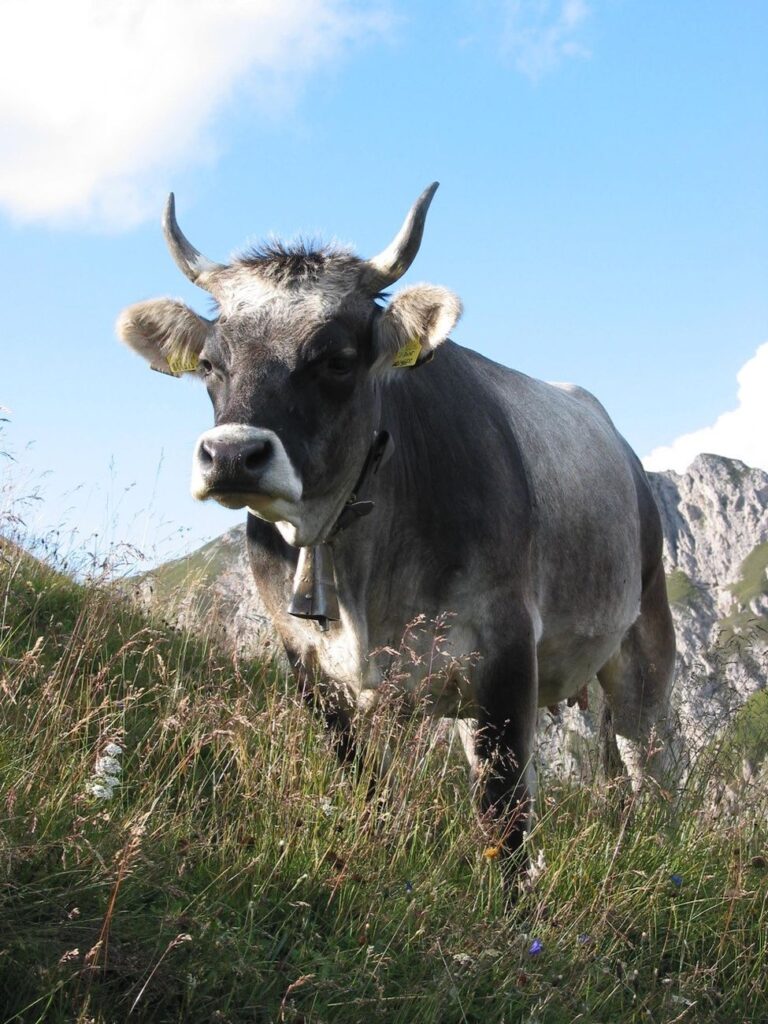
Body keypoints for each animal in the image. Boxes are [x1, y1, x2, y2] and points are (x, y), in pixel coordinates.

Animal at [117, 184, 675, 888]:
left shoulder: (506, 642)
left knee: (647, 764)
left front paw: (513, 907)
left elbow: (503, 816)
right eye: (211, 364)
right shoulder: (307, 662)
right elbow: (366, 781)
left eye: (336, 360)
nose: (232, 456)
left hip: (645, 638)